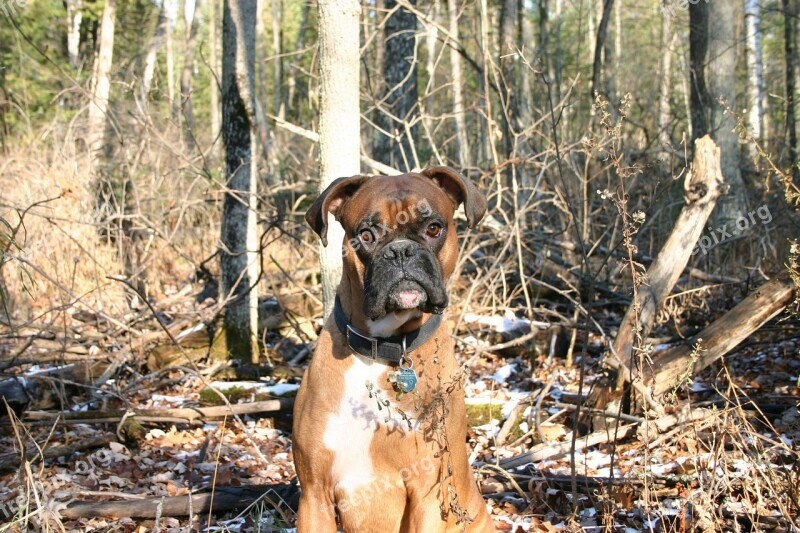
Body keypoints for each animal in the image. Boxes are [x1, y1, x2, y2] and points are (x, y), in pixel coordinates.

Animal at [294, 167, 494, 532]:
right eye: (366, 234)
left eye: (434, 228)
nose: (400, 251)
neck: (383, 347)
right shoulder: (314, 495)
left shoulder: (427, 495)